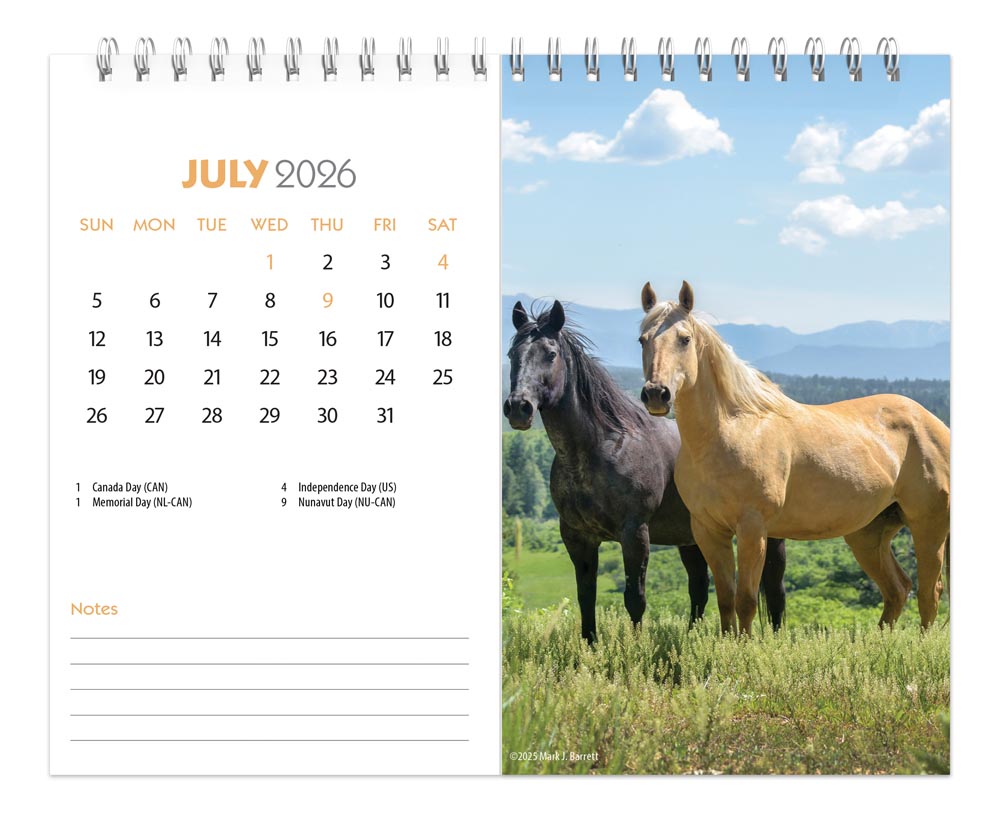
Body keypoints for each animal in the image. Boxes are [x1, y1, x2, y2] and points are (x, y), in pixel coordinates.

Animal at [504, 299, 787, 643]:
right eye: (512, 354)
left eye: (551, 354)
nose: (519, 408)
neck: (600, 448)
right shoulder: (577, 536)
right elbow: (586, 596)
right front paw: (590, 645)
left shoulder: (635, 532)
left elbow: (634, 598)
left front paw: (634, 646)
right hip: (691, 538)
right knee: (699, 587)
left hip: (768, 535)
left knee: (775, 590)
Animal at [638, 281, 950, 634]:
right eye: (643, 339)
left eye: (685, 339)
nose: (656, 394)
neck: (732, 430)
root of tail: (935, 424)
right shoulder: (708, 530)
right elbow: (726, 600)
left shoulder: (753, 529)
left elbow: (746, 601)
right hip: (868, 534)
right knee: (898, 589)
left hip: (928, 525)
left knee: (929, 592)